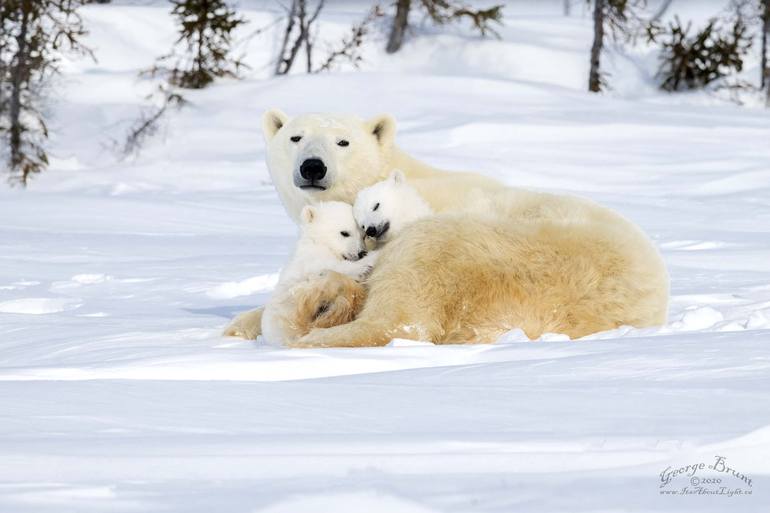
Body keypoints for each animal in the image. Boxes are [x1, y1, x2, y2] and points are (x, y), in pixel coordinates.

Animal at [260, 200, 376, 344]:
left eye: (363, 235)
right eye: (344, 233)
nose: (361, 252)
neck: (318, 243)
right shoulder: (310, 259)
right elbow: (331, 265)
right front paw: (368, 262)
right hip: (287, 308)